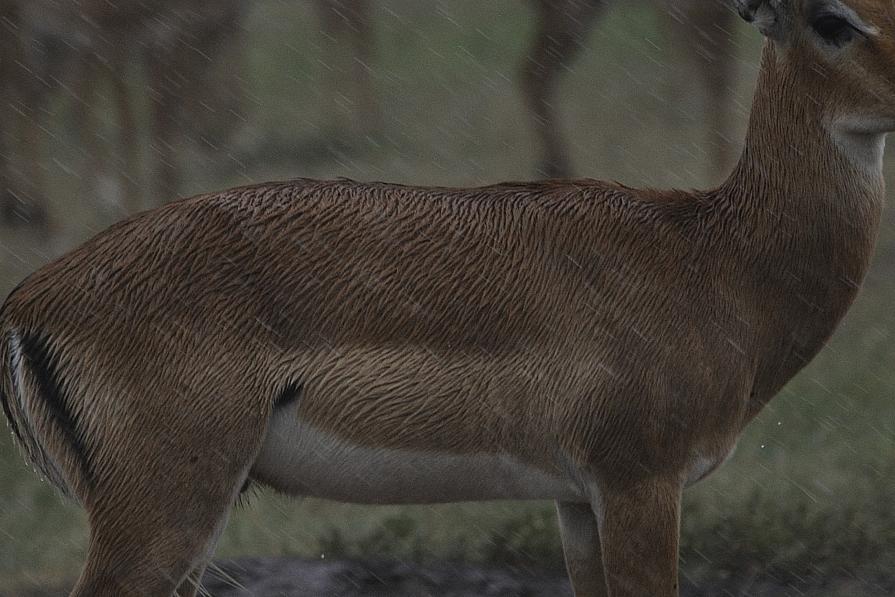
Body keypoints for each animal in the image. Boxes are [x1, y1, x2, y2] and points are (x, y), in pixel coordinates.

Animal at [0, 0, 890, 595]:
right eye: (831, 18)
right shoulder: (640, 482)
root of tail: (27, 301)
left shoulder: (577, 499)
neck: (714, 257)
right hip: (164, 517)